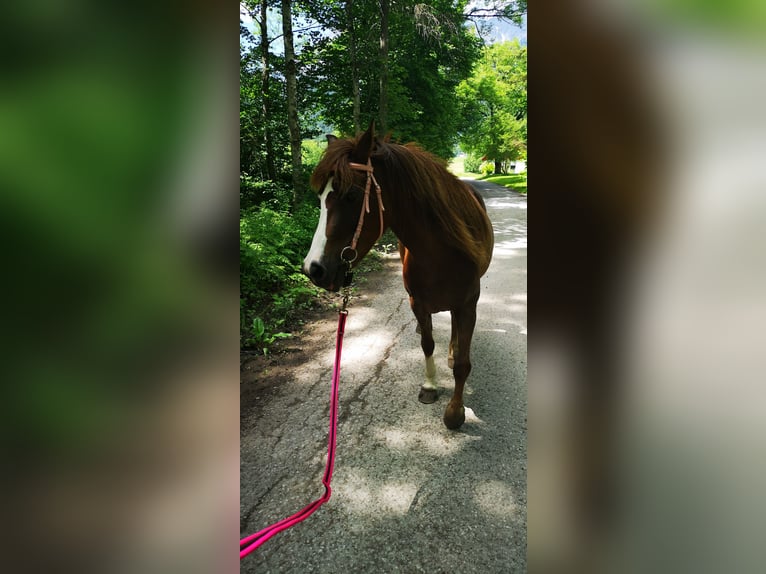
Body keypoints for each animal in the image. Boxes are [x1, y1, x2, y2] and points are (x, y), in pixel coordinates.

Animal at [300, 124, 492, 430]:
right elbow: (427, 344)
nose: (313, 268)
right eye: (320, 198)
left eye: (352, 195)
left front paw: (455, 411)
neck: (442, 252)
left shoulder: (468, 303)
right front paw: (430, 386)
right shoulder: (417, 303)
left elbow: (463, 363)